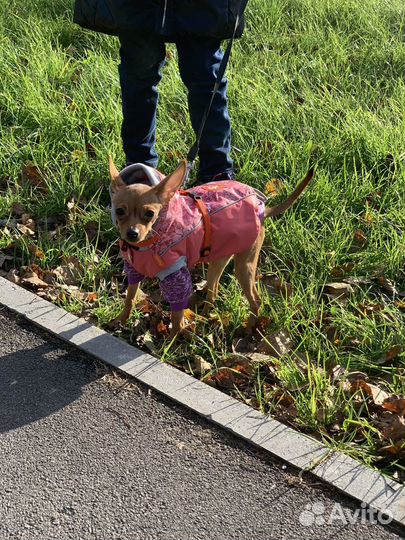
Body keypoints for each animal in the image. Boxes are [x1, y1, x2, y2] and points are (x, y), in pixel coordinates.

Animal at [108, 156, 312, 340]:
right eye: (119, 211)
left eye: (150, 214)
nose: (132, 233)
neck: (147, 243)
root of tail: (262, 208)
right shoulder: (134, 271)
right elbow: (130, 298)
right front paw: (121, 320)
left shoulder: (177, 278)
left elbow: (176, 317)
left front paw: (169, 343)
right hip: (219, 259)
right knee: (213, 292)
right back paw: (206, 316)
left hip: (243, 267)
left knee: (255, 300)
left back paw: (248, 329)